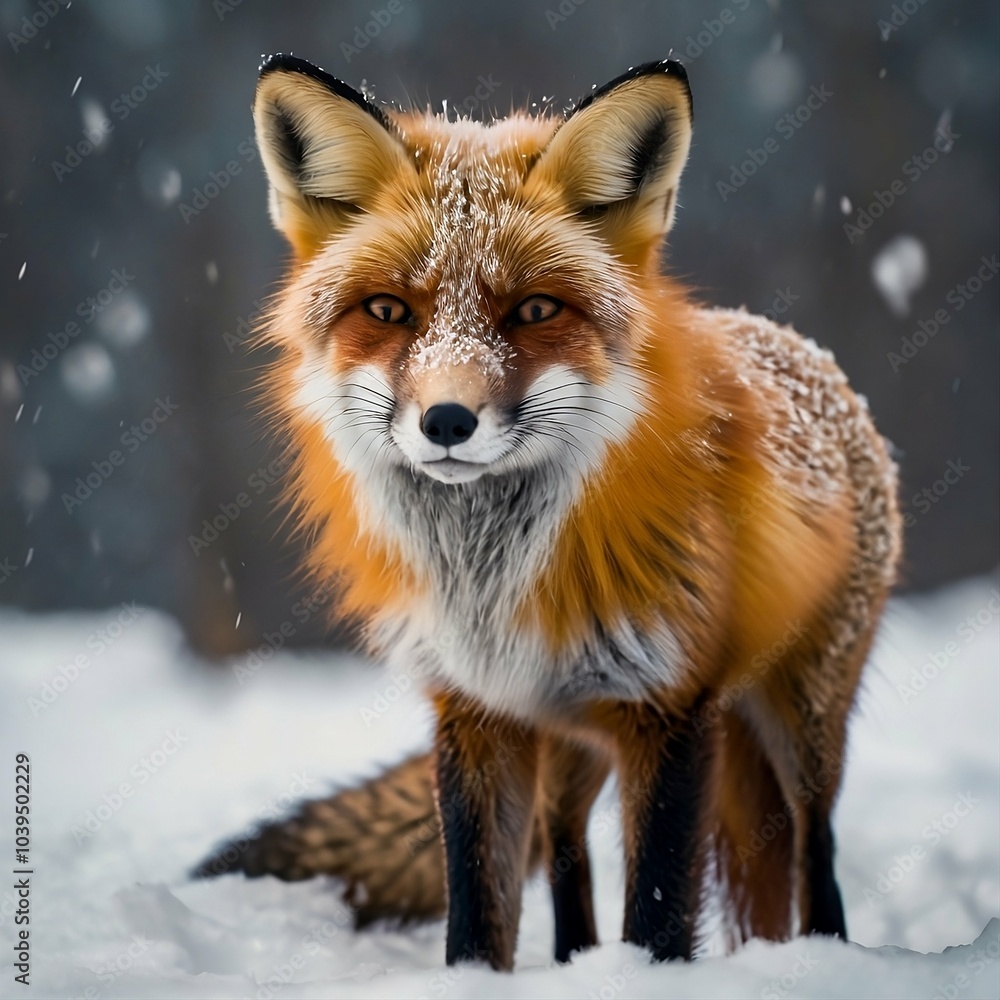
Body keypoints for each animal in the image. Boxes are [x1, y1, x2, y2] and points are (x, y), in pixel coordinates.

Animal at [196, 54, 902, 971]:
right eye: (388, 310)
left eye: (534, 309)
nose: (446, 421)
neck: (489, 577)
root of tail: (806, 352)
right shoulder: (476, 711)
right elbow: (477, 910)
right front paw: (481, 981)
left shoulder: (672, 708)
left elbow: (659, 910)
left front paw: (646, 978)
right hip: (569, 741)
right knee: (567, 852)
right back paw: (575, 964)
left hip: (804, 715)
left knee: (817, 854)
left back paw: (819, 952)